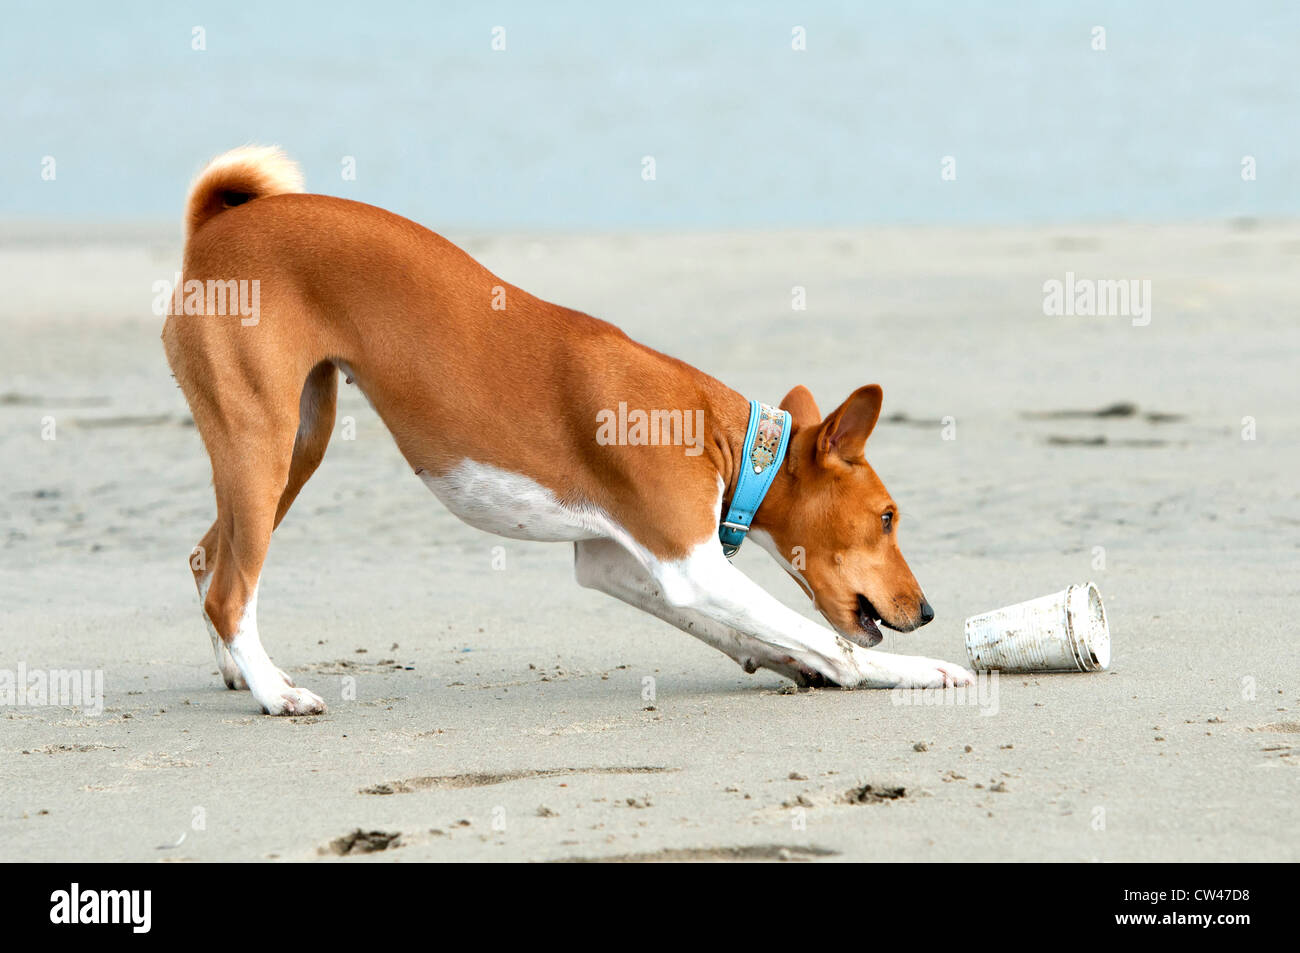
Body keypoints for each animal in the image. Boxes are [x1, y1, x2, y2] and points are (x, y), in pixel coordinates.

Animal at [162, 146, 972, 712]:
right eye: (889, 517)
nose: (930, 609)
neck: (722, 435)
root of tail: (215, 227)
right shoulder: (692, 564)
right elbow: (825, 635)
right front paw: (915, 669)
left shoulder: (619, 561)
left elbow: (753, 632)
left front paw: (799, 665)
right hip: (263, 442)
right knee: (230, 588)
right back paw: (276, 693)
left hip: (299, 442)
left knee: (207, 560)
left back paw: (238, 671)